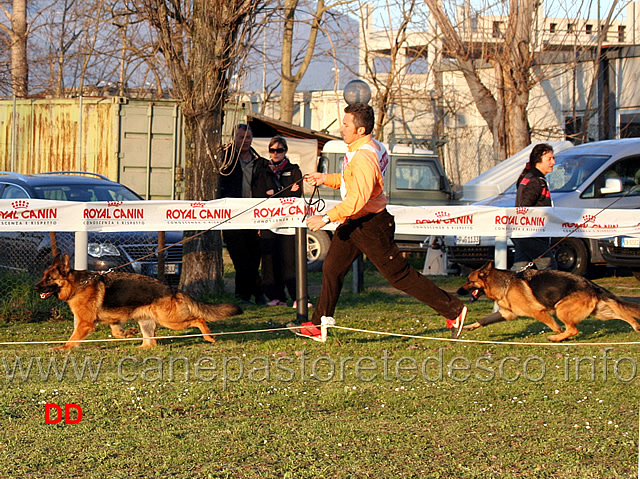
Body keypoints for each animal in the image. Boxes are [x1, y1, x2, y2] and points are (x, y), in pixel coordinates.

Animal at [36, 253, 244, 350]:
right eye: (43, 276)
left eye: (49, 279)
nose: (35, 288)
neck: (77, 285)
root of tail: (172, 289)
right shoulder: (113, 321)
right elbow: (117, 333)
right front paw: (128, 333)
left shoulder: (85, 324)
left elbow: (72, 339)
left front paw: (62, 348)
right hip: (146, 321)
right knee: (151, 343)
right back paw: (139, 346)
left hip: (170, 321)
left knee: (198, 319)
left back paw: (208, 336)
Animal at [456, 260, 640, 344]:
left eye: (469, 280)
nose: (458, 292)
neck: (504, 283)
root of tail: (591, 284)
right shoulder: (507, 314)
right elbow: (484, 320)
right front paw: (468, 326)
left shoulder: (539, 312)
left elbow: (555, 326)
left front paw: (558, 334)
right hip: (601, 313)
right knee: (625, 315)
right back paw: (636, 326)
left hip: (562, 310)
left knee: (572, 329)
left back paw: (557, 338)